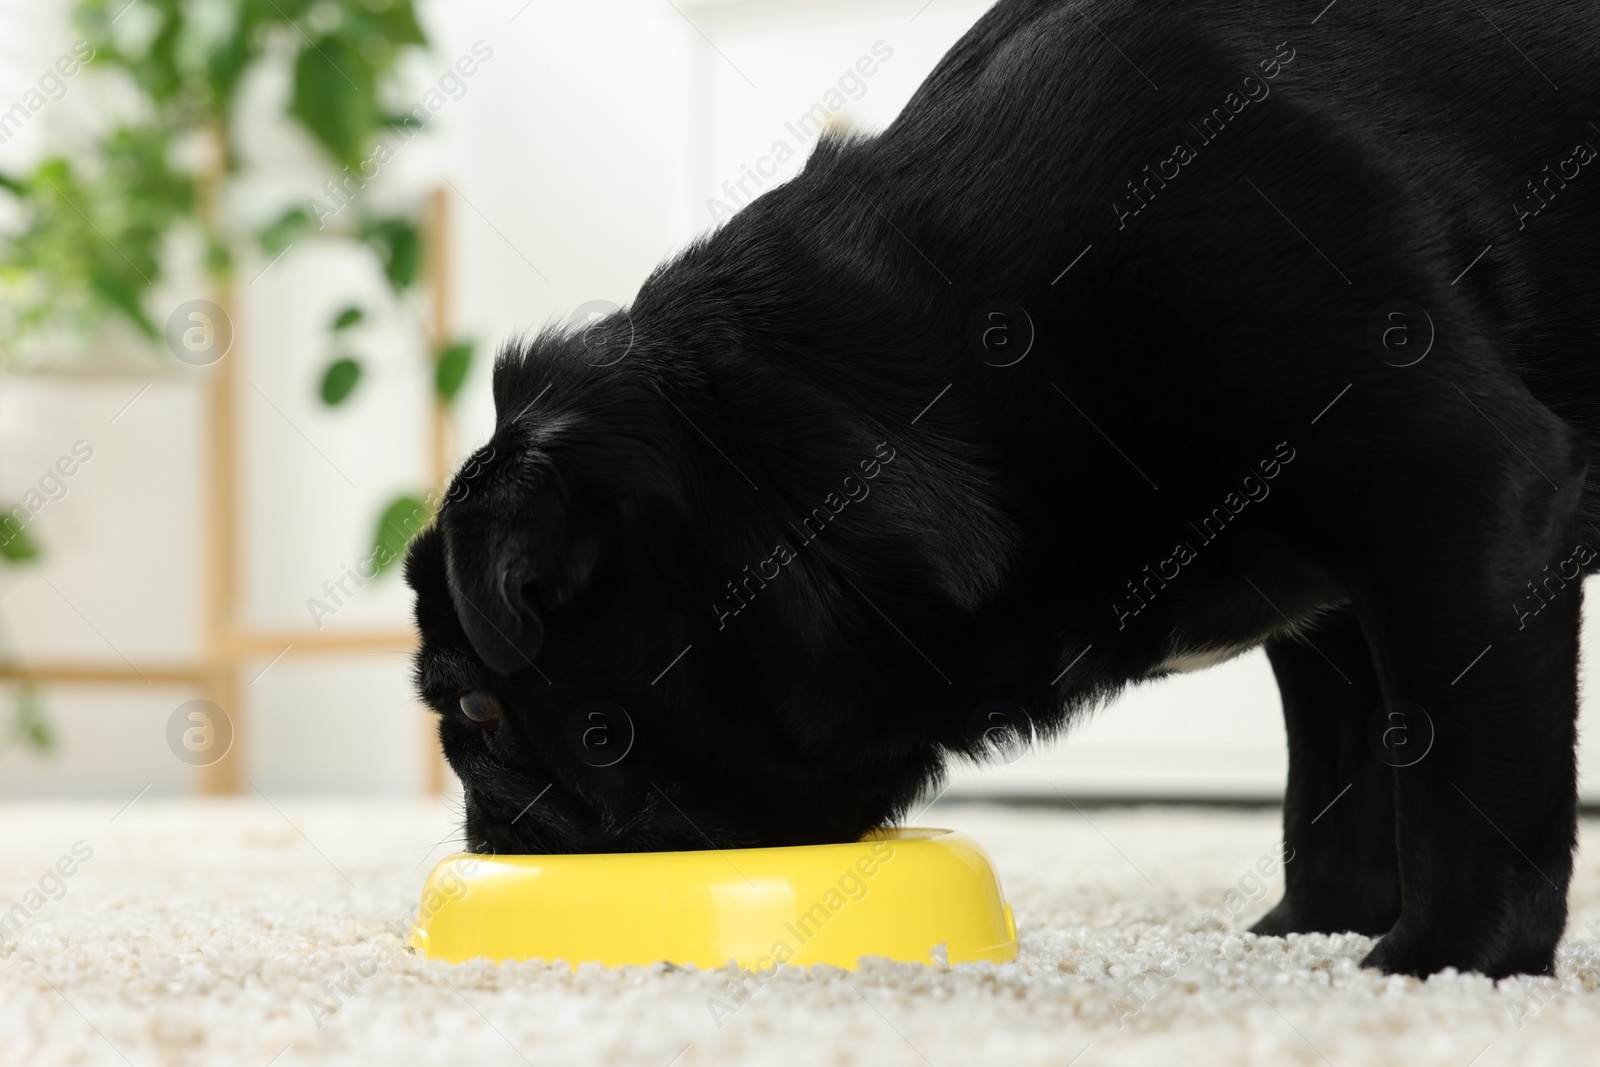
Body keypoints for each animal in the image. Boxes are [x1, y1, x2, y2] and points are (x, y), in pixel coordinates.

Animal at [409, 0, 1600, 979]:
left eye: (475, 710)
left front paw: (1444, 963)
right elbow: (1337, 784)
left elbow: (1461, 777)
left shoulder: (1455, 498)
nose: (484, 824)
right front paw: (1309, 932)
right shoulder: (1330, 610)